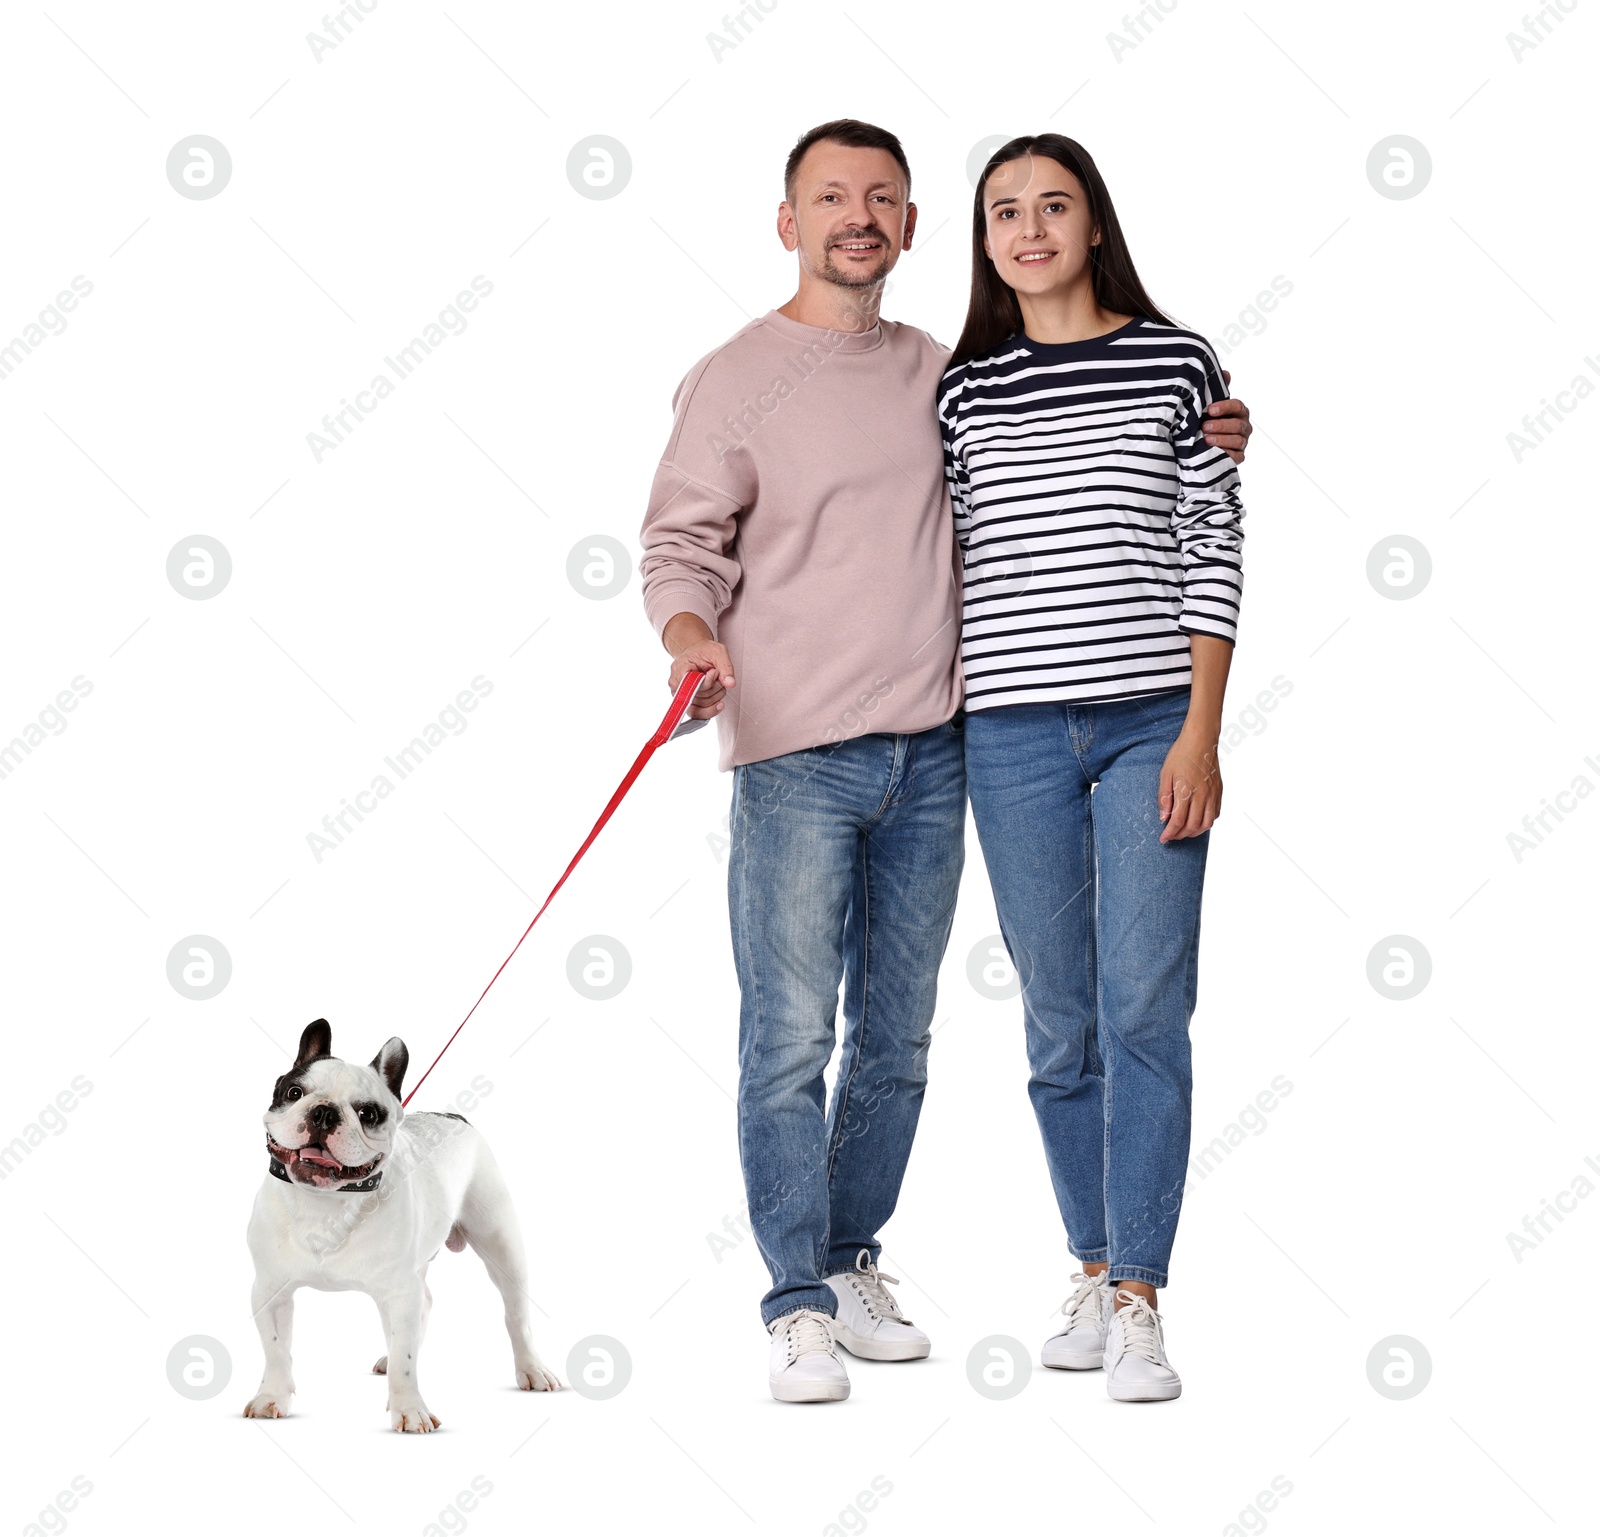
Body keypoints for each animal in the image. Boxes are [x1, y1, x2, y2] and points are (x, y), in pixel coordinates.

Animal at [240, 1017, 560, 1426]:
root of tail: (455, 1117)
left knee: (515, 1315)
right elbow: (277, 1350)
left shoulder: (399, 1292)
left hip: (501, 1243)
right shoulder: (270, 1290)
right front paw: (271, 1397)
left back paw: (532, 1369)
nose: (324, 1112)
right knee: (424, 1305)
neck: (325, 1202)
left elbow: (406, 1363)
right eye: (294, 1092)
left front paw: (410, 1409)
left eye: (368, 1114)